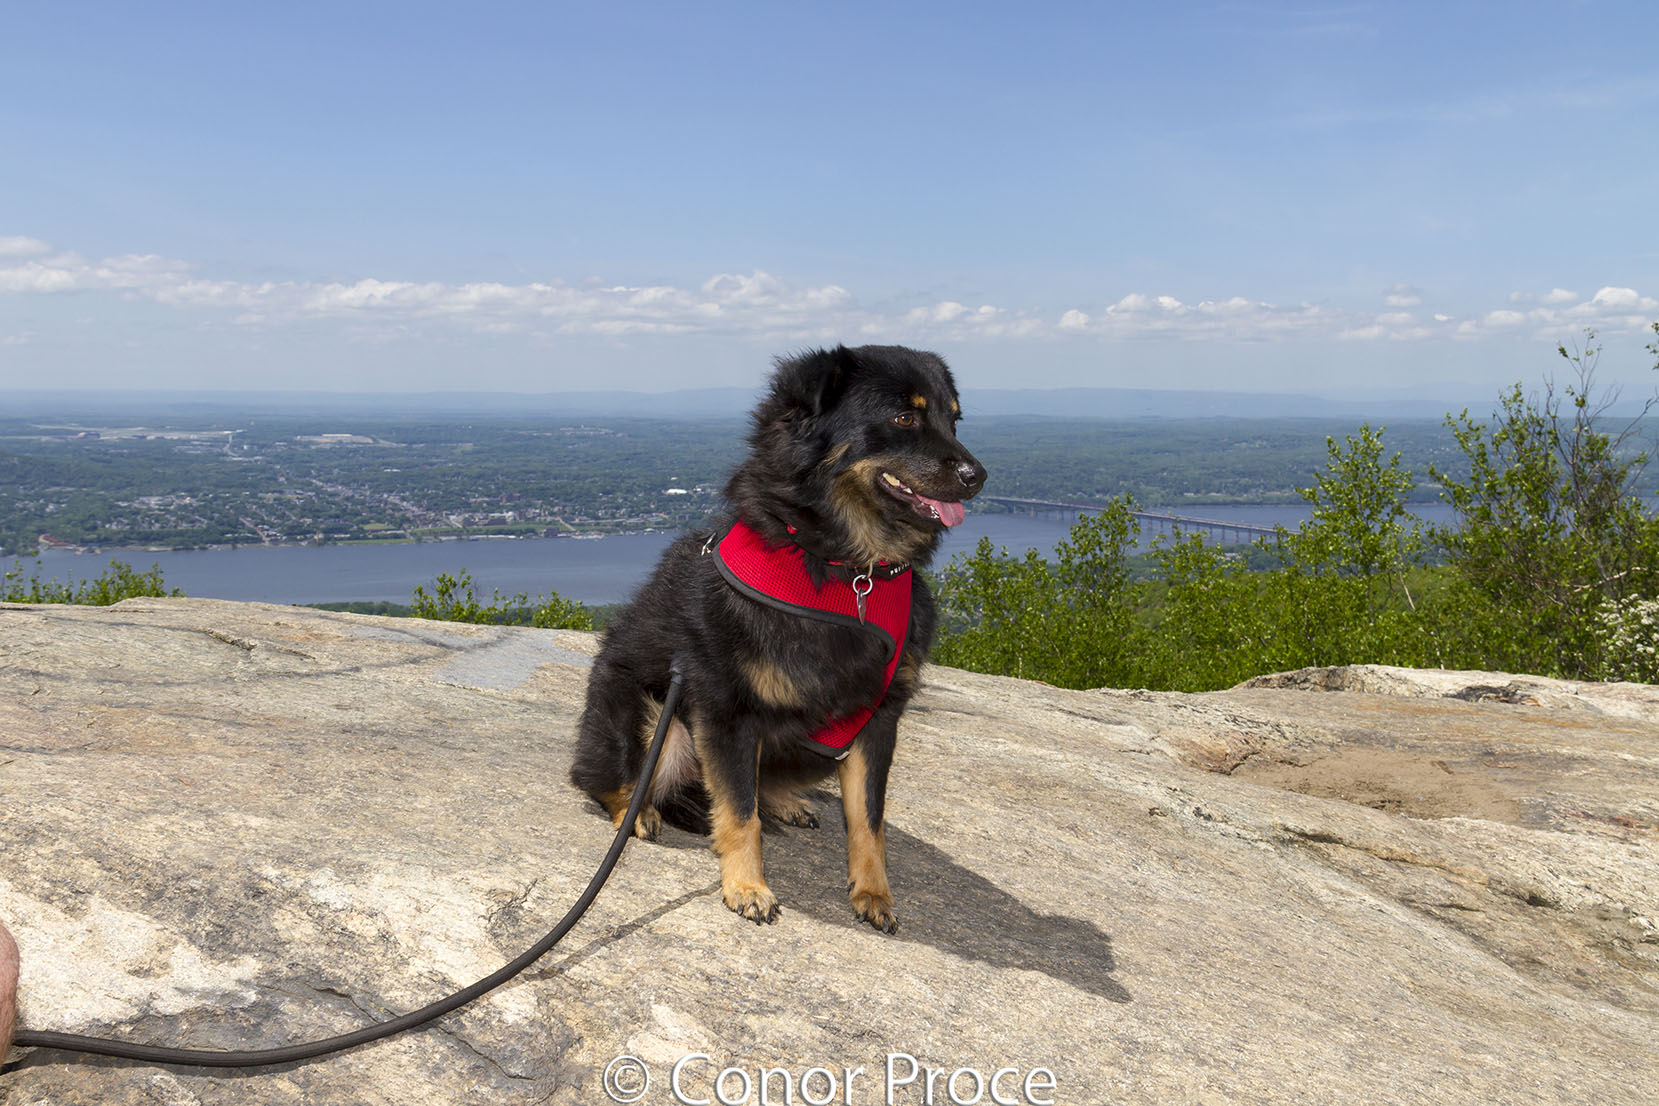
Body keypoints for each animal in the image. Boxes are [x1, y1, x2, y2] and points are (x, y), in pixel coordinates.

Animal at [569, 345, 986, 930]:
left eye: (954, 419)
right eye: (905, 417)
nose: (978, 475)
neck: (847, 575)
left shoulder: (879, 718)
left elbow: (870, 819)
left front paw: (874, 892)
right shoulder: (725, 710)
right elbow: (739, 811)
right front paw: (747, 886)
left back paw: (785, 800)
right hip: (654, 716)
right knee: (602, 777)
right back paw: (639, 810)